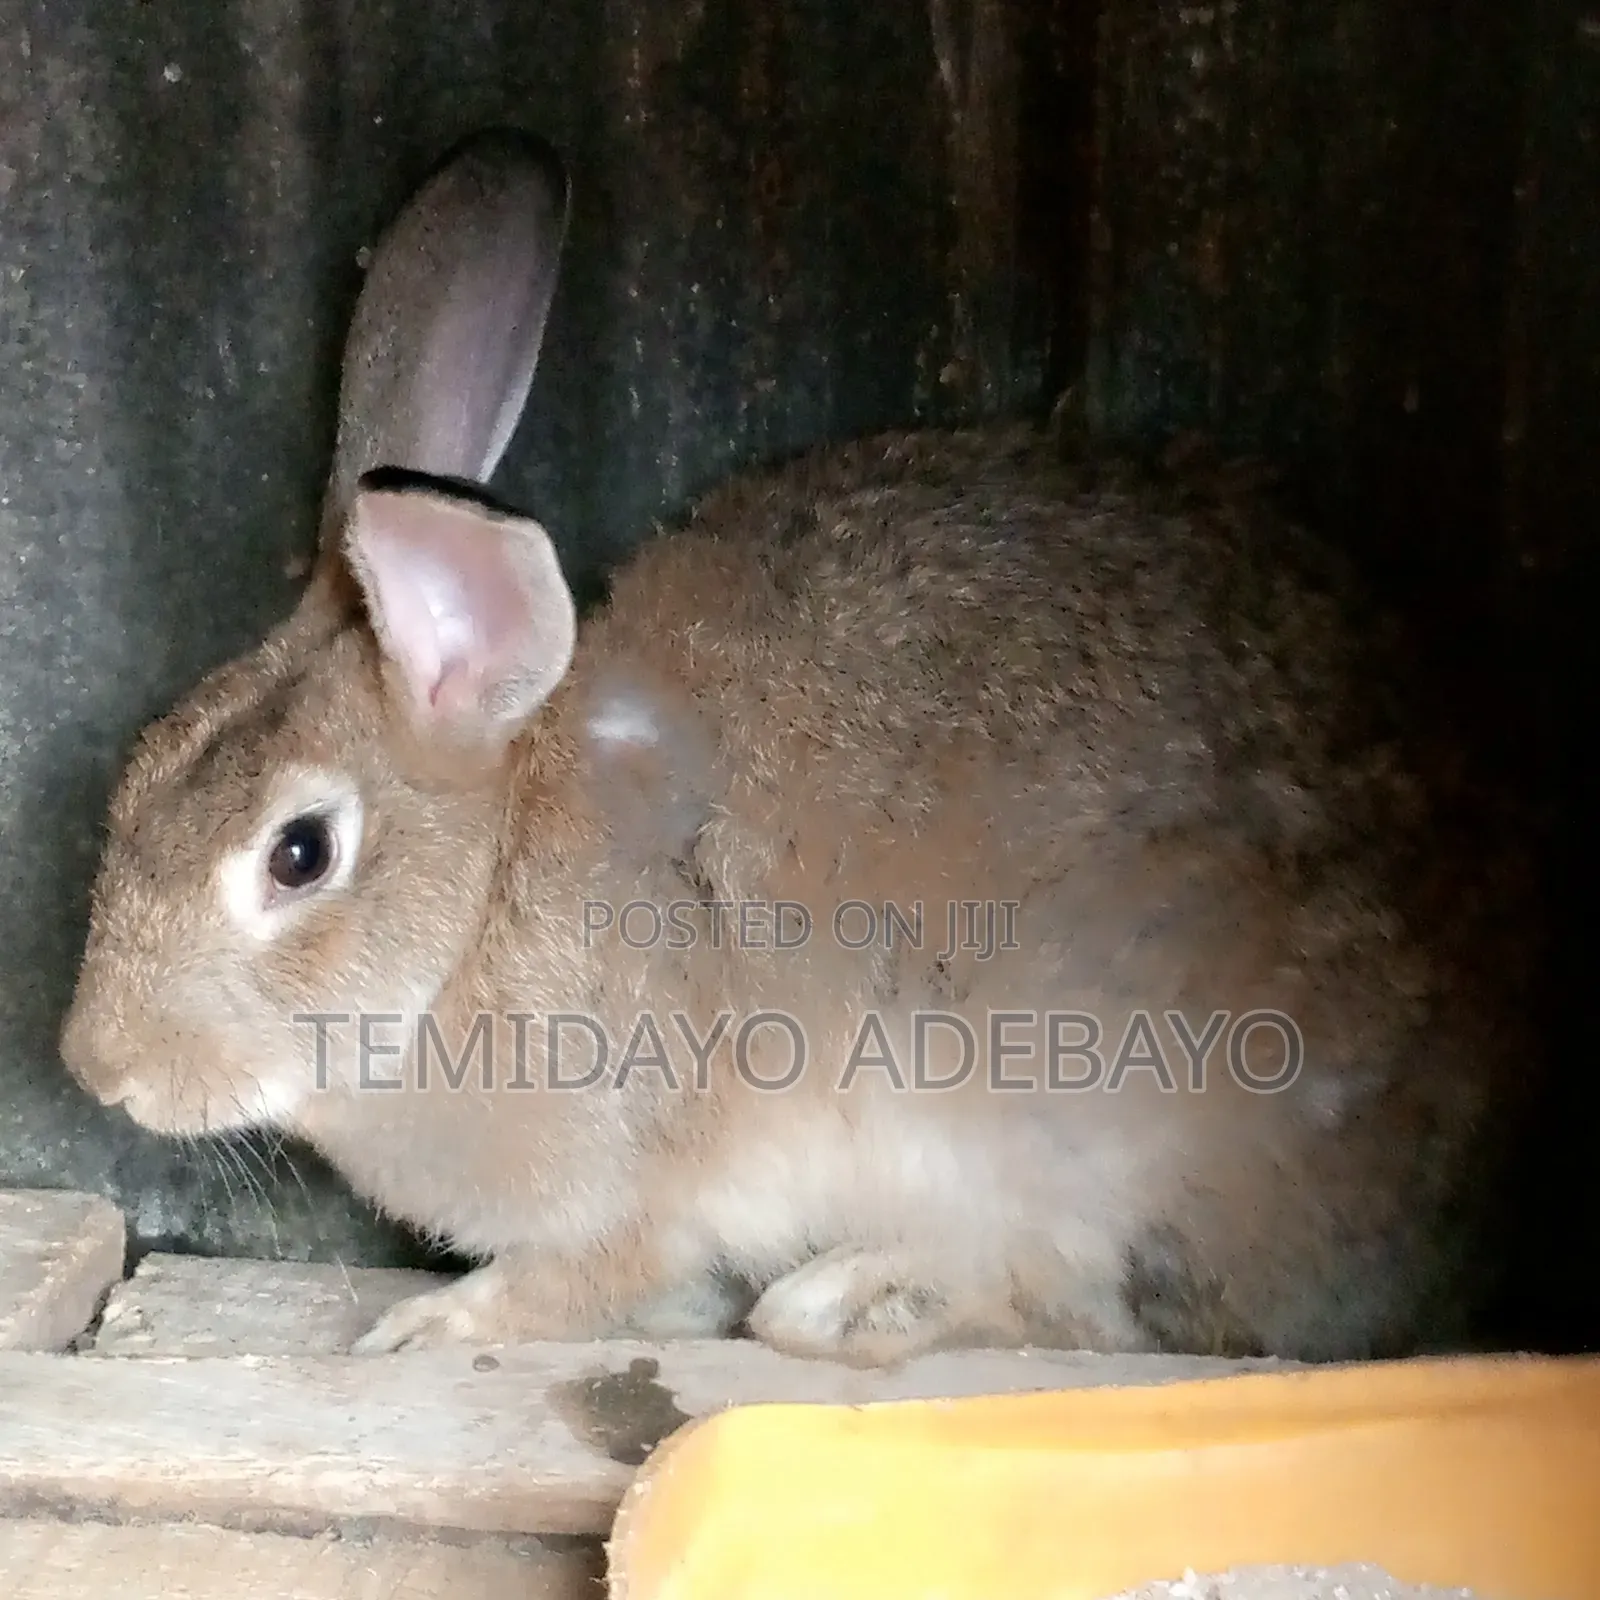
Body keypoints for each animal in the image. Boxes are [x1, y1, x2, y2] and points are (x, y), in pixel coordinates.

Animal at [57, 124, 1539, 1367]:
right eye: (137, 773)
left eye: (298, 855)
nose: (95, 1066)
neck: (481, 904)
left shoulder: (636, 1177)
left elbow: (580, 1279)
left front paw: (426, 1330)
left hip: (1105, 1133)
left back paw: (849, 1304)